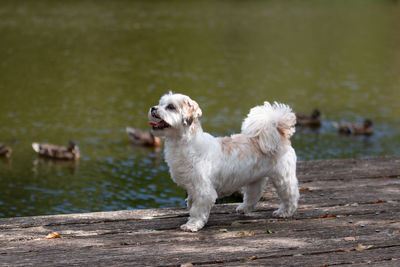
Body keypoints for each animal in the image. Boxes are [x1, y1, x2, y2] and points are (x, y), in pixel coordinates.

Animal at [148, 92, 298, 232]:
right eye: (160, 103)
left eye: (170, 107)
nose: (153, 108)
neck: (185, 145)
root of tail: (278, 132)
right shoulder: (192, 186)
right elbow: (191, 203)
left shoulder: (204, 190)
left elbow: (197, 209)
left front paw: (192, 225)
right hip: (254, 178)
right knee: (253, 194)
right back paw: (244, 208)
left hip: (283, 177)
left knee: (290, 195)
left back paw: (284, 212)